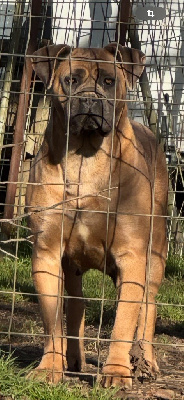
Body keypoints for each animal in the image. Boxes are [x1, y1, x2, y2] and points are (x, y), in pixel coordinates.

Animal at [25, 42, 168, 390]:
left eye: (108, 81)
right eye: (71, 80)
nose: (89, 99)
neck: (84, 160)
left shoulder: (132, 257)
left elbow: (124, 321)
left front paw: (116, 372)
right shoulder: (47, 254)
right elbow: (53, 319)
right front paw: (49, 368)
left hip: (155, 258)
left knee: (148, 308)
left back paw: (145, 363)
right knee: (76, 305)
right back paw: (74, 358)